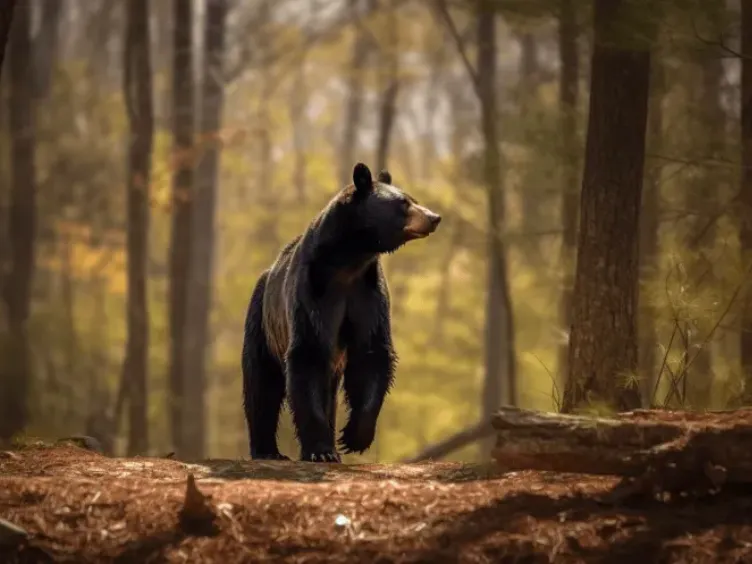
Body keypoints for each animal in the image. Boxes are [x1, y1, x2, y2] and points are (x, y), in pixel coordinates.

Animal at [241, 162, 442, 462]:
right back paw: (267, 450)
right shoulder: (313, 293)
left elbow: (371, 356)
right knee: (261, 384)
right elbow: (307, 357)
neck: (348, 262)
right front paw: (321, 450)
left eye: (412, 198)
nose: (434, 217)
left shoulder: (367, 295)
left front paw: (352, 437)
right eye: (403, 202)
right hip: (262, 323)